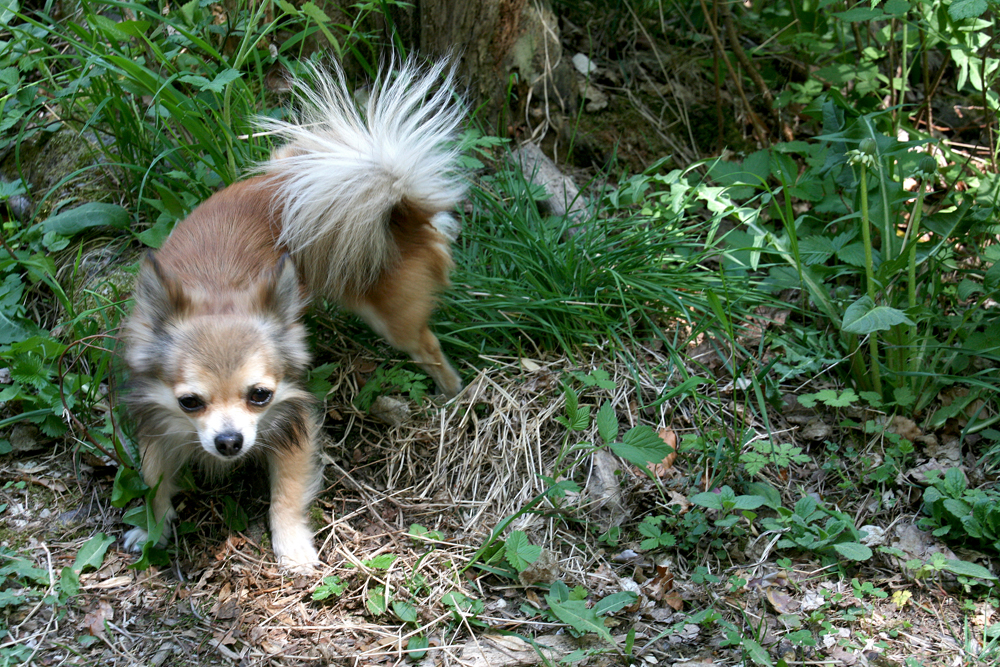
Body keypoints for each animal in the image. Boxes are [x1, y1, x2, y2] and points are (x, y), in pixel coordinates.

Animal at [120, 62, 464, 572]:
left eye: (260, 395)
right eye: (190, 402)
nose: (229, 442)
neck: (218, 291)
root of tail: (401, 202)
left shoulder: (293, 418)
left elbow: (285, 492)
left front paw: (292, 546)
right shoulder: (155, 422)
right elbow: (154, 480)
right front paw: (151, 529)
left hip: (392, 316)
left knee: (430, 348)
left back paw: (453, 395)